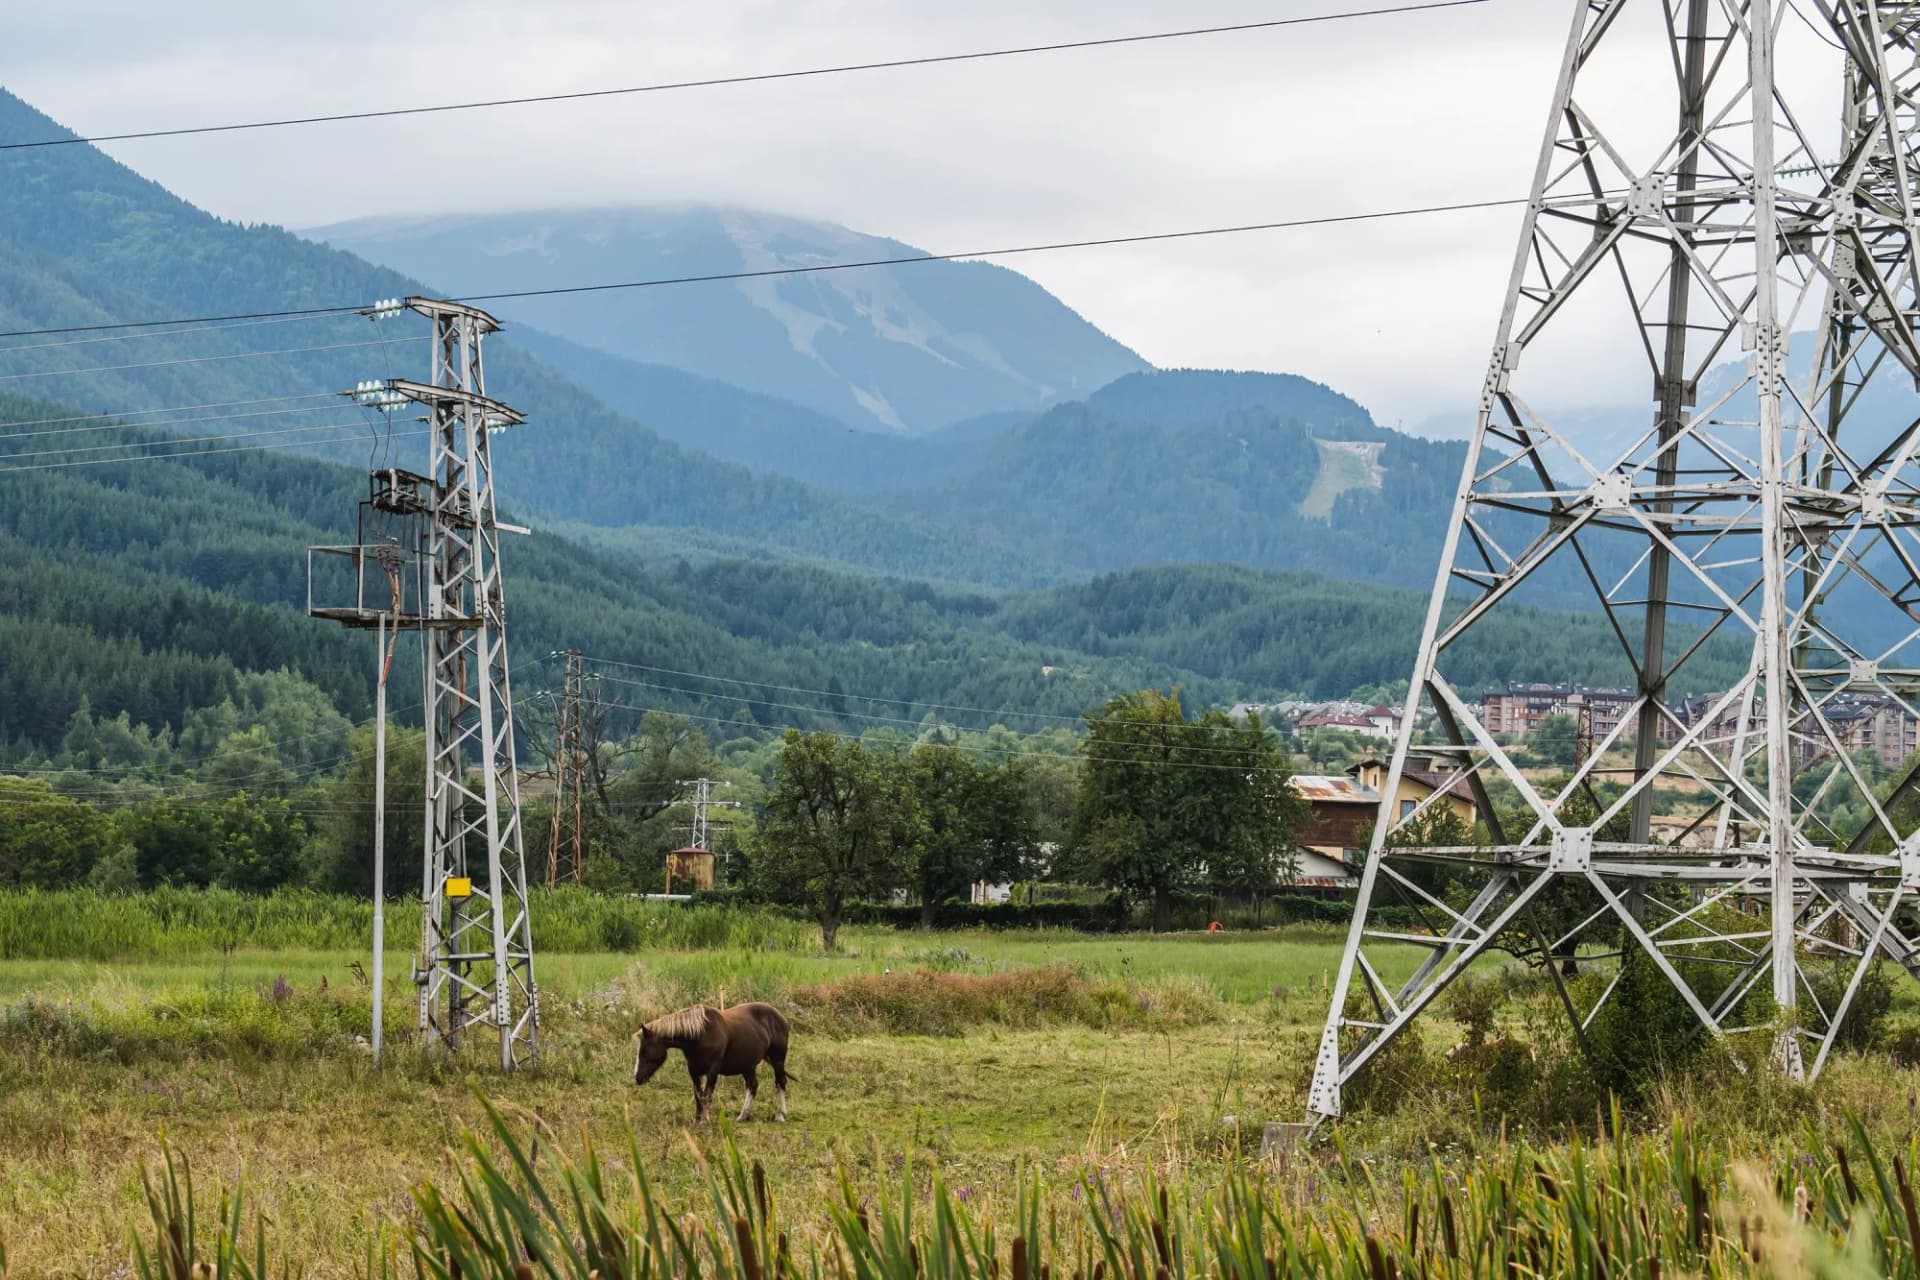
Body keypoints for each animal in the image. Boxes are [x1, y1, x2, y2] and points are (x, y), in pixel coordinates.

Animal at [631, 1002, 793, 1122]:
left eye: (644, 1050)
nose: (637, 1078)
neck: (700, 1035)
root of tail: (780, 1017)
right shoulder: (693, 1070)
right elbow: (698, 1095)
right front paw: (698, 1119)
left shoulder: (713, 1070)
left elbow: (707, 1095)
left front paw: (705, 1120)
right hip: (748, 1065)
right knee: (752, 1086)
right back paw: (743, 1116)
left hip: (778, 1060)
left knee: (780, 1082)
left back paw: (780, 1115)